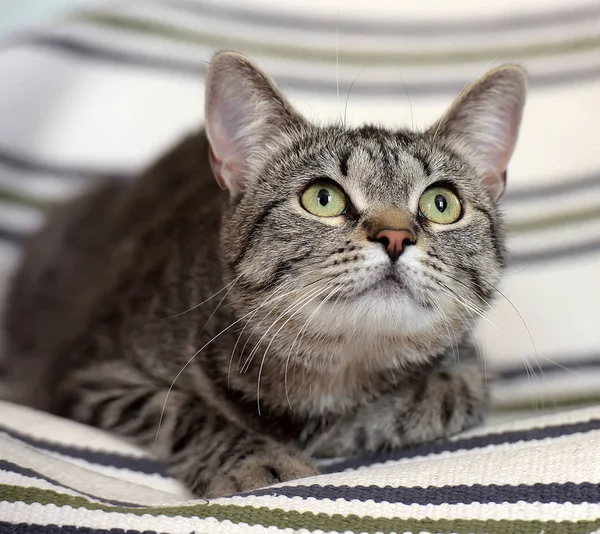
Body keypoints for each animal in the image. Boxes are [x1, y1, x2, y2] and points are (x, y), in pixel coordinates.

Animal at [1, 50, 524, 498]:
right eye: (323, 198)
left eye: (441, 204)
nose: (395, 236)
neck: (333, 371)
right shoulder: (90, 375)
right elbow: (184, 412)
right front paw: (262, 459)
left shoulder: (467, 368)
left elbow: (440, 396)